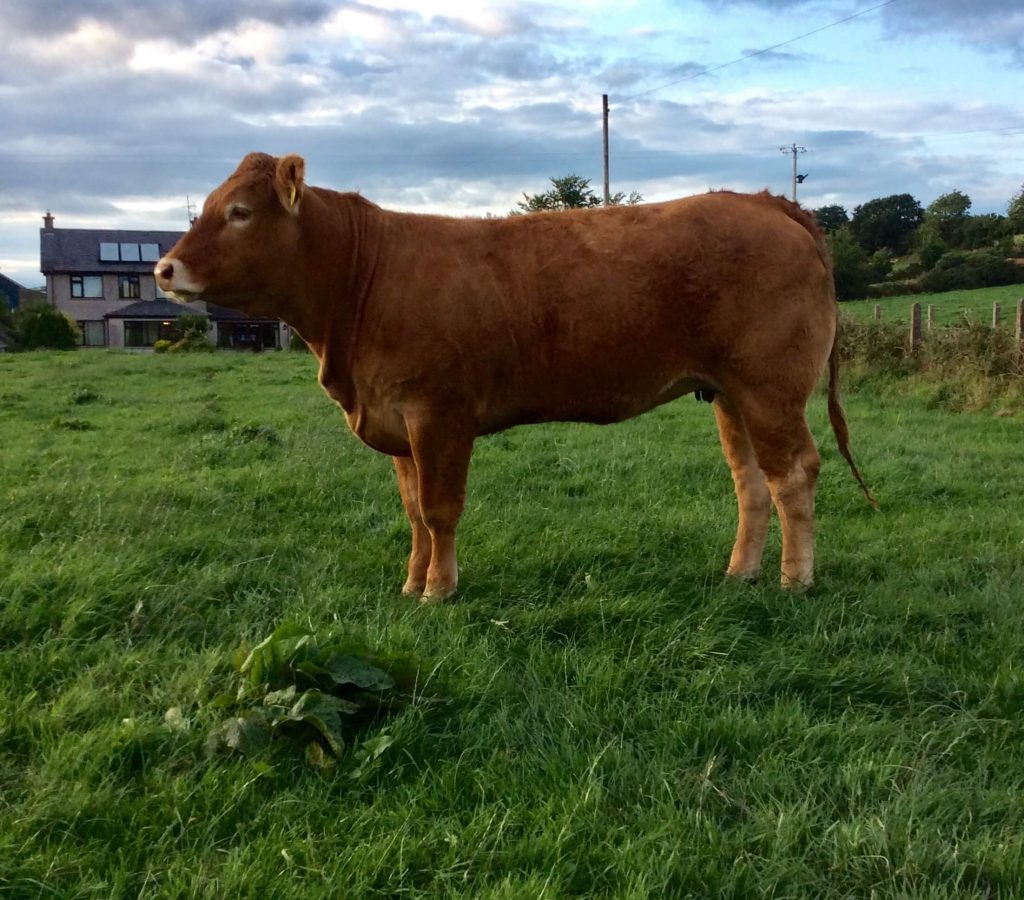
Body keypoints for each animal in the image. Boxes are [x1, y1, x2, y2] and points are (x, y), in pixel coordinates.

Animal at [155, 153, 876, 602]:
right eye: (209, 205)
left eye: (240, 211)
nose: (163, 268)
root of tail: (768, 203)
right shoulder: (397, 421)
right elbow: (413, 514)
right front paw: (411, 583)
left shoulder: (438, 414)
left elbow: (440, 510)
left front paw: (438, 591)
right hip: (728, 391)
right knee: (751, 482)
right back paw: (739, 574)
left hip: (770, 386)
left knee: (794, 474)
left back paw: (794, 579)